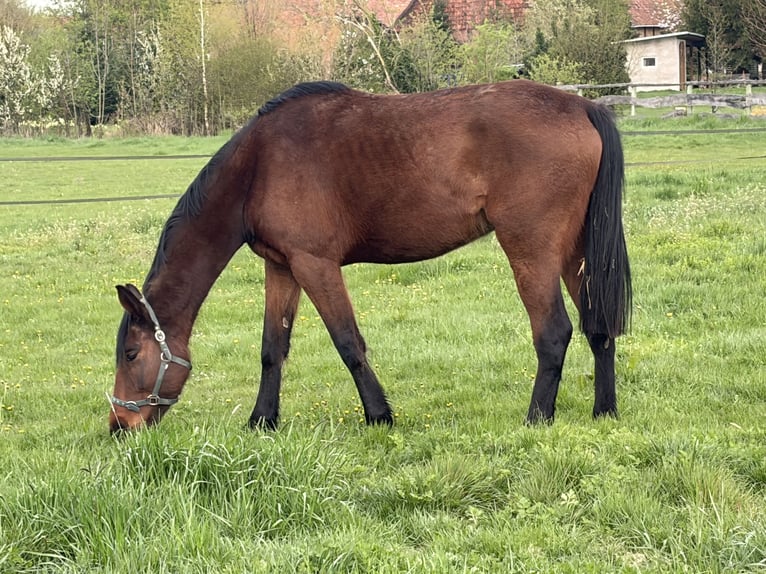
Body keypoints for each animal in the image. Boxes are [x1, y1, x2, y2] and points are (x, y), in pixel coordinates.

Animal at [108, 79, 631, 433]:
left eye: (131, 353)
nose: (119, 427)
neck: (259, 165)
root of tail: (583, 106)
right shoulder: (282, 266)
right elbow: (272, 349)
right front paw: (262, 421)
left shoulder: (315, 264)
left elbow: (348, 344)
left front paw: (379, 415)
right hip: (576, 251)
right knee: (598, 327)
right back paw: (604, 411)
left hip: (530, 249)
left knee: (554, 333)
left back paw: (536, 418)